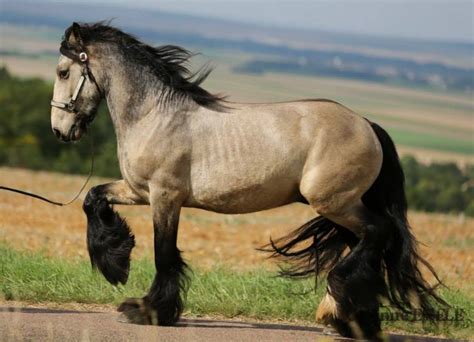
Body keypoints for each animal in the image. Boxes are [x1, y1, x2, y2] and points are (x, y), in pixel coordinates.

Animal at [50, 22, 446, 340]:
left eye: (63, 72)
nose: (59, 131)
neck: (155, 115)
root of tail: (368, 125)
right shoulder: (138, 190)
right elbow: (93, 198)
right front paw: (115, 264)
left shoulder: (165, 196)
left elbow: (164, 253)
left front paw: (148, 310)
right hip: (342, 207)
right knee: (365, 246)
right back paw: (348, 320)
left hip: (334, 202)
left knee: (379, 233)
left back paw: (338, 311)